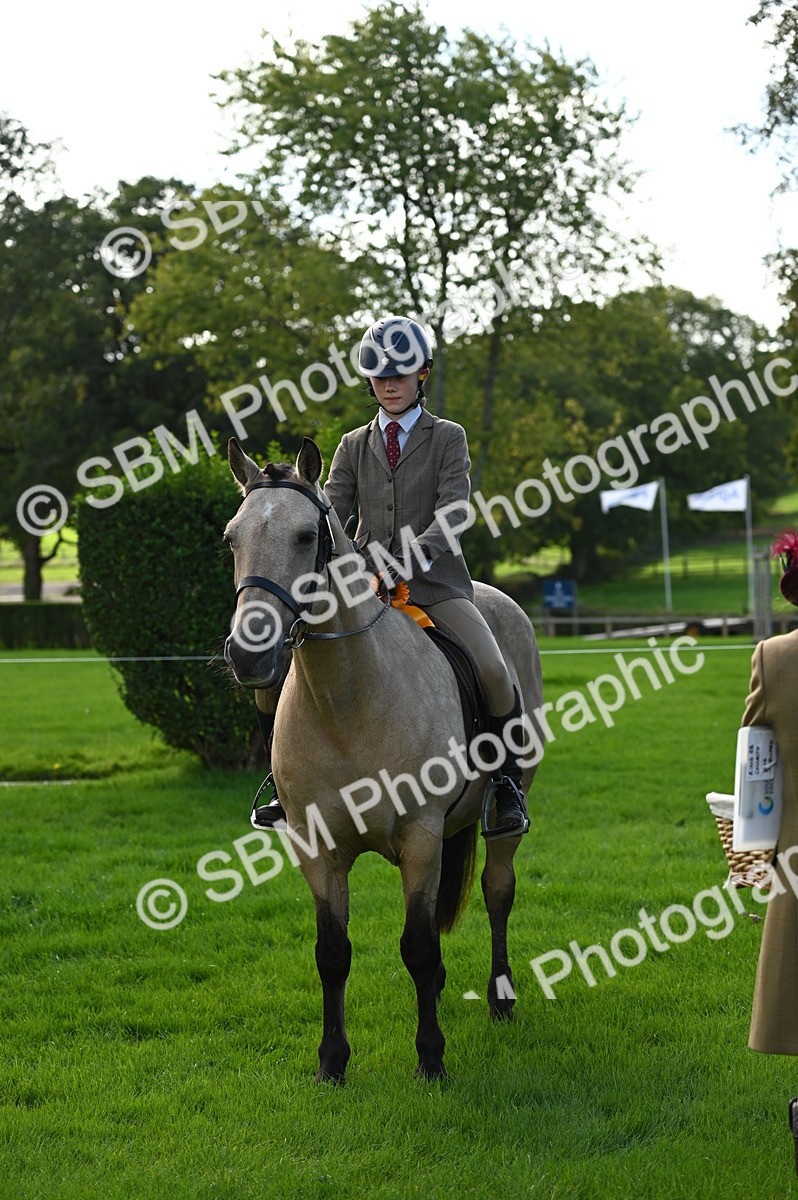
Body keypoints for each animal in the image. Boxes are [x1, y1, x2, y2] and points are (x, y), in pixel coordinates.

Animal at [223, 435, 543, 1083]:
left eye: (306, 536)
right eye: (231, 538)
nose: (248, 655)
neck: (346, 700)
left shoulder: (420, 835)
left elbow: (416, 946)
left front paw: (431, 1058)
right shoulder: (316, 848)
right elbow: (332, 953)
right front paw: (332, 1062)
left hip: (505, 810)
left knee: (498, 890)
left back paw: (500, 998)